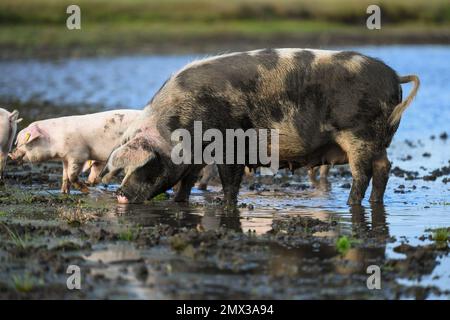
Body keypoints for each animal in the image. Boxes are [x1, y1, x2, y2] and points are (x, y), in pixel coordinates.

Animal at [100, 48, 420, 206]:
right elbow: (186, 181)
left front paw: (225, 205)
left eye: (145, 163)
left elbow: (230, 180)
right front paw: (179, 202)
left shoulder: (229, 143)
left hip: (358, 134)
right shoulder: (195, 157)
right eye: (122, 169)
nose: (120, 194)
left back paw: (351, 204)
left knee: (363, 174)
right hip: (376, 141)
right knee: (383, 168)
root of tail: (394, 76)